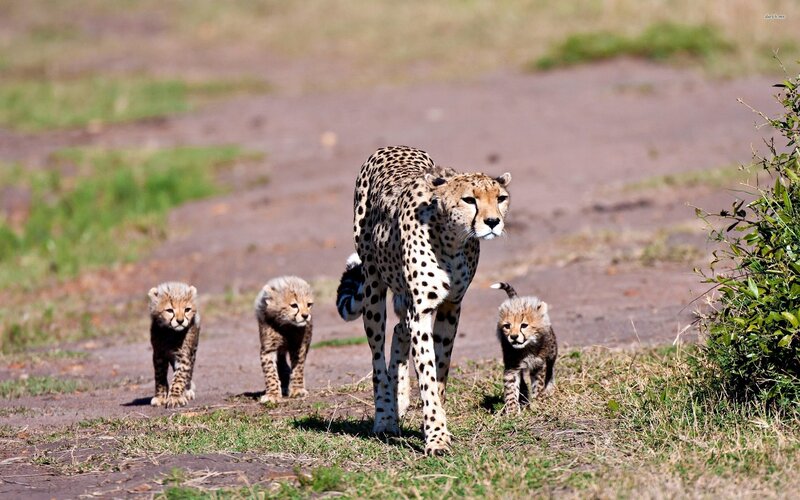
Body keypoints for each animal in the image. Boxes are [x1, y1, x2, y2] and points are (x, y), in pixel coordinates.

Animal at [335, 145, 511, 456]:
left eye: (500, 198)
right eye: (469, 199)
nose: (493, 222)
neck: (452, 240)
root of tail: (392, 146)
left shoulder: (451, 307)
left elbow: (439, 370)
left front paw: (434, 422)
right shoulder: (422, 311)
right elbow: (427, 373)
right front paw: (436, 438)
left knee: (398, 330)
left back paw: (400, 400)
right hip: (373, 288)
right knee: (378, 357)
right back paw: (385, 417)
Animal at [491, 282, 557, 413]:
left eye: (524, 325)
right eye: (507, 326)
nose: (513, 336)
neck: (526, 348)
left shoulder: (538, 365)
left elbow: (538, 384)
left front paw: (536, 403)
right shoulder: (511, 368)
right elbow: (511, 389)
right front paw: (512, 411)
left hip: (552, 351)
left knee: (550, 369)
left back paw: (548, 389)